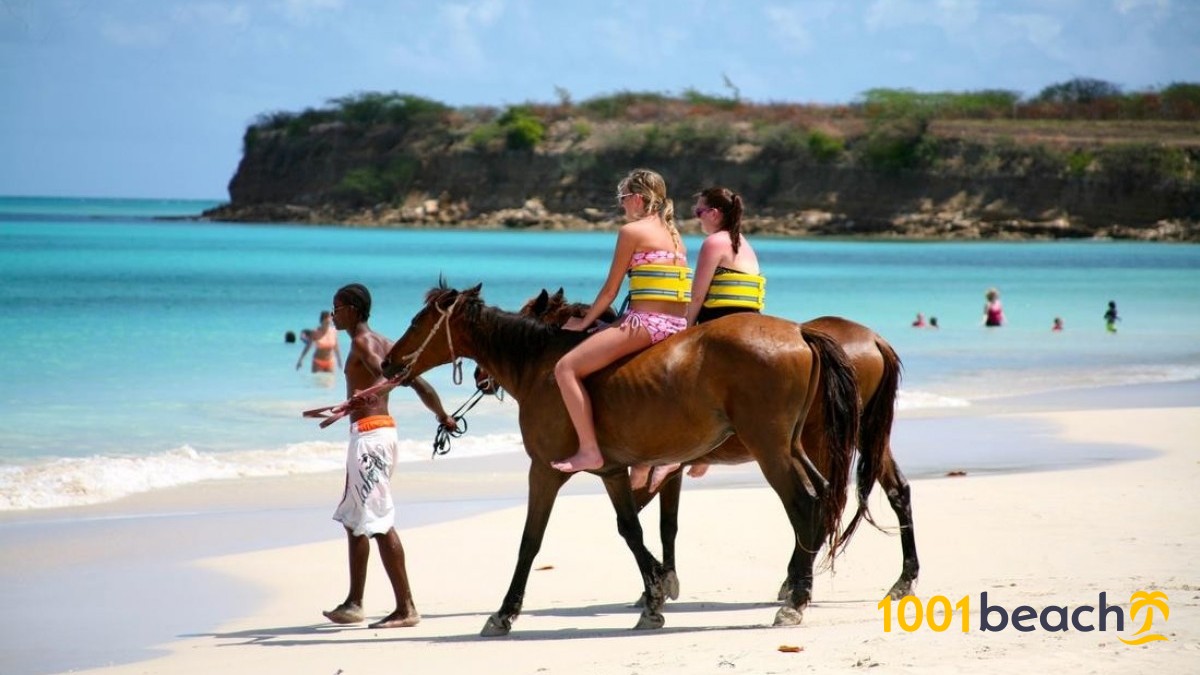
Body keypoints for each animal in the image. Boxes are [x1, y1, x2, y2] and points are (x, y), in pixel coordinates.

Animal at [379, 281, 859, 634]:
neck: (542, 366)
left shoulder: (544, 472)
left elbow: (530, 542)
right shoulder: (613, 472)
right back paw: (798, 588)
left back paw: (795, 600)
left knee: (803, 505)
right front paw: (654, 597)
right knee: (821, 499)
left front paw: (504, 613)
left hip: (770, 450)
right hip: (792, 448)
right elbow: (632, 530)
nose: (387, 363)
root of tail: (799, 332)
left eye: (417, 320)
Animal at [506, 285, 916, 600]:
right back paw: (900, 579)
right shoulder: (665, 469)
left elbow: (647, 522)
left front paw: (657, 585)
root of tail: (872, 339)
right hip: (863, 438)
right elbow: (663, 524)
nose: (491, 379)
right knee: (892, 492)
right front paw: (660, 583)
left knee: (821, 504)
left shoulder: (654, 469)